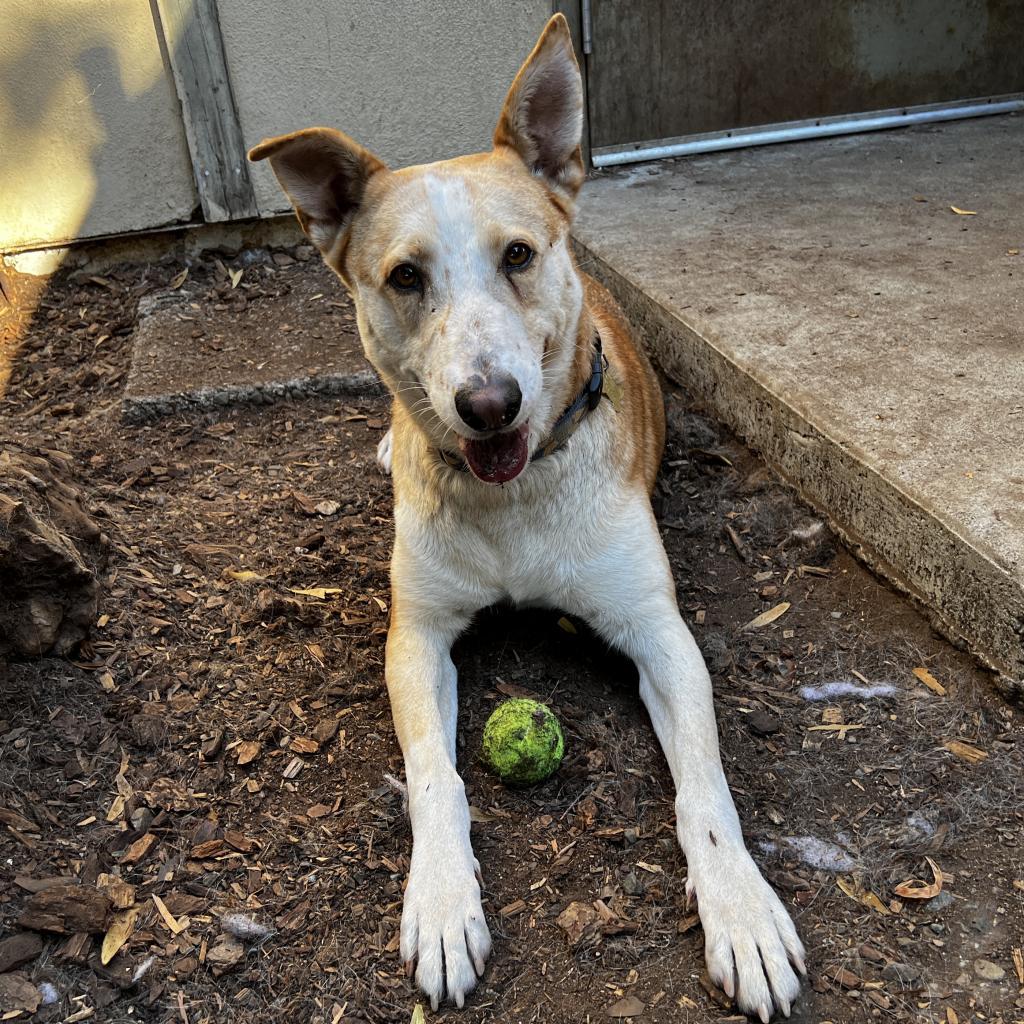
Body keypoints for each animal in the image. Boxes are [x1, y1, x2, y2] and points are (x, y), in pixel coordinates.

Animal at [249, 14, 806, 1015]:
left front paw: (742, 913)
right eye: (404, 277)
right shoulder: (415, 637)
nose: (489, 405)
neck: (511, 496)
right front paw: (441, 902)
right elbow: (435, 778)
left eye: (517, 255)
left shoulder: (662, 633)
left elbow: (706, 787)